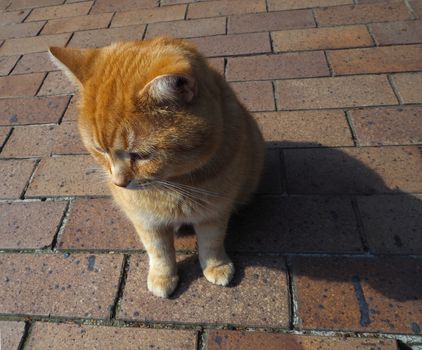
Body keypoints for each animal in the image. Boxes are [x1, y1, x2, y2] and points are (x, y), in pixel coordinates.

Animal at [50, 37, 264, 296]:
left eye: (141, 155)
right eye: (101, 150)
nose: (119, 183)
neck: (175, 183)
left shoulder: (215, 209)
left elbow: (212, 242)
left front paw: (217, 266)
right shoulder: (144, 218)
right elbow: (159, 251)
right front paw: (163, 277)